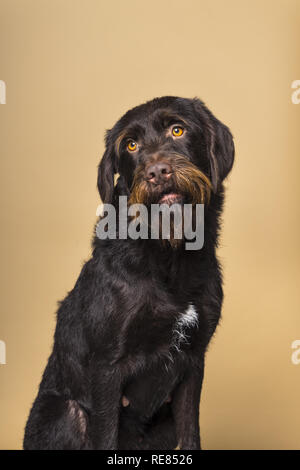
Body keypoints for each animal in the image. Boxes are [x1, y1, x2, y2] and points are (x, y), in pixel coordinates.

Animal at [23, 94, 234, 448]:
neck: (168, 255)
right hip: (65, 412)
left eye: (177, 129)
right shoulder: (108, 367)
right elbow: (106, 436)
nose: (157, 172)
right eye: (131, 145)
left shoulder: (194, 360)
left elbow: (191, 432)